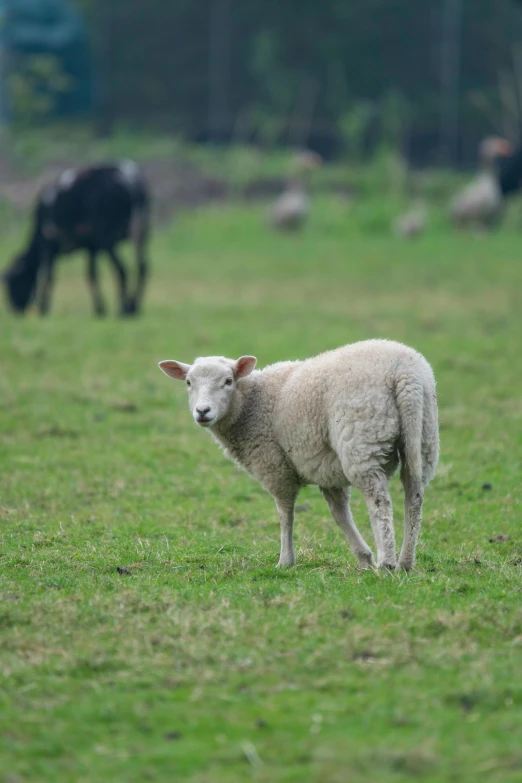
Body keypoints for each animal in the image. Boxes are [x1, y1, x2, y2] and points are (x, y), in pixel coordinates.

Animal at [3, 161, 150, 316]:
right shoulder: (91, 248)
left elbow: (48, 275)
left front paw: (43, 308)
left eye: (14, 282)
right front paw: (99, 309)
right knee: (143, 266)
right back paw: (133, 306)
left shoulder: (49, 244)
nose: (15, 310)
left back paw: (124, 308)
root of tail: (129, 179)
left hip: (107, 238)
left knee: (122, 270)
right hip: (141, 232)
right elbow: (91, 274)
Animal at [157, 340, 434, 572]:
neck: (251, 404)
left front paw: (285, 561)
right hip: (422, 438)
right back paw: (405, 562)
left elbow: (285, 513)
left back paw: (387, 562)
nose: (202, 411)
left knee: (379, 501)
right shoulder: (325, 466)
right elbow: (339, 513)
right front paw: (364, 558)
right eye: (188, 383)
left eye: (228, 381)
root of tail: (404, 374)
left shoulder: (274, 466)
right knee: (414, 497)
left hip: (362, 440)